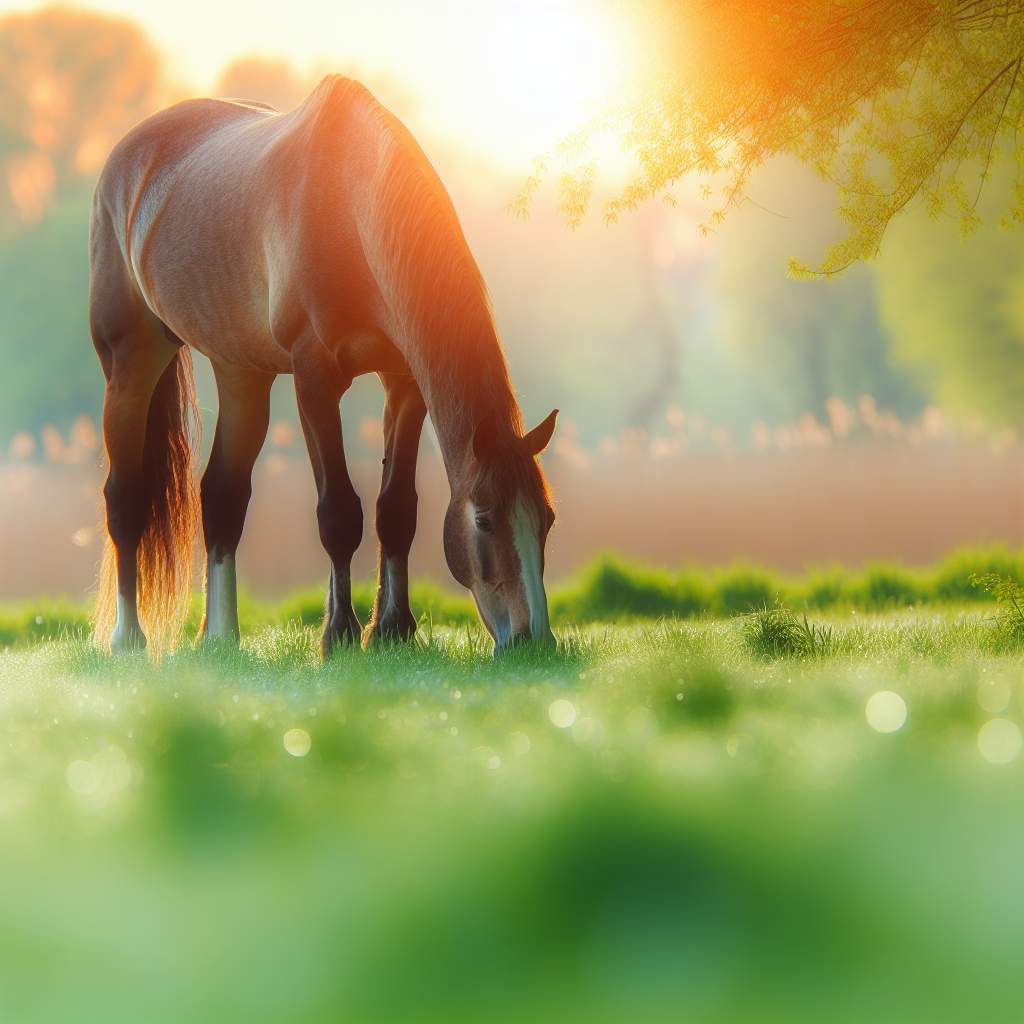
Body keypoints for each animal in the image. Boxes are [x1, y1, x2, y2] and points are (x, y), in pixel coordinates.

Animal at [89, 75, 561, 659]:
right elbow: (339, 512)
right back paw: (127, 639)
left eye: (547, 519)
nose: (533, 639)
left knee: (222, 496)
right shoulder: (315, 381)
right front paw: (339, 634)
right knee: (125, 498)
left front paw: (393, 629)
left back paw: (222, 637)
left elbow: (395, 510)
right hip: (130, 361)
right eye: (485, 520)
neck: (349, 206)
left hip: (241, 372)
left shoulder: (404, 383)